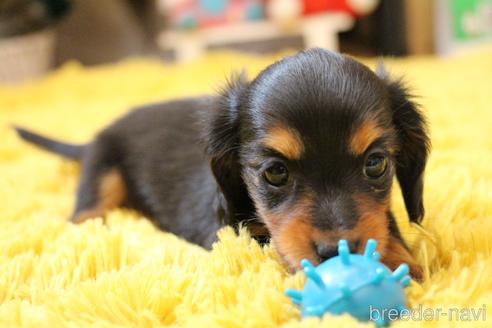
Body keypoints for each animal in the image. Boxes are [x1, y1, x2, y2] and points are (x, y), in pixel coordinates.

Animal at [17, 48, 428, 278]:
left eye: (375, 164)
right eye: (275, 172)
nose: (335, 252)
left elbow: (385, 221)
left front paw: (398, 257)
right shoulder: (227, 232)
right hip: (103, 169)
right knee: (85, 213)